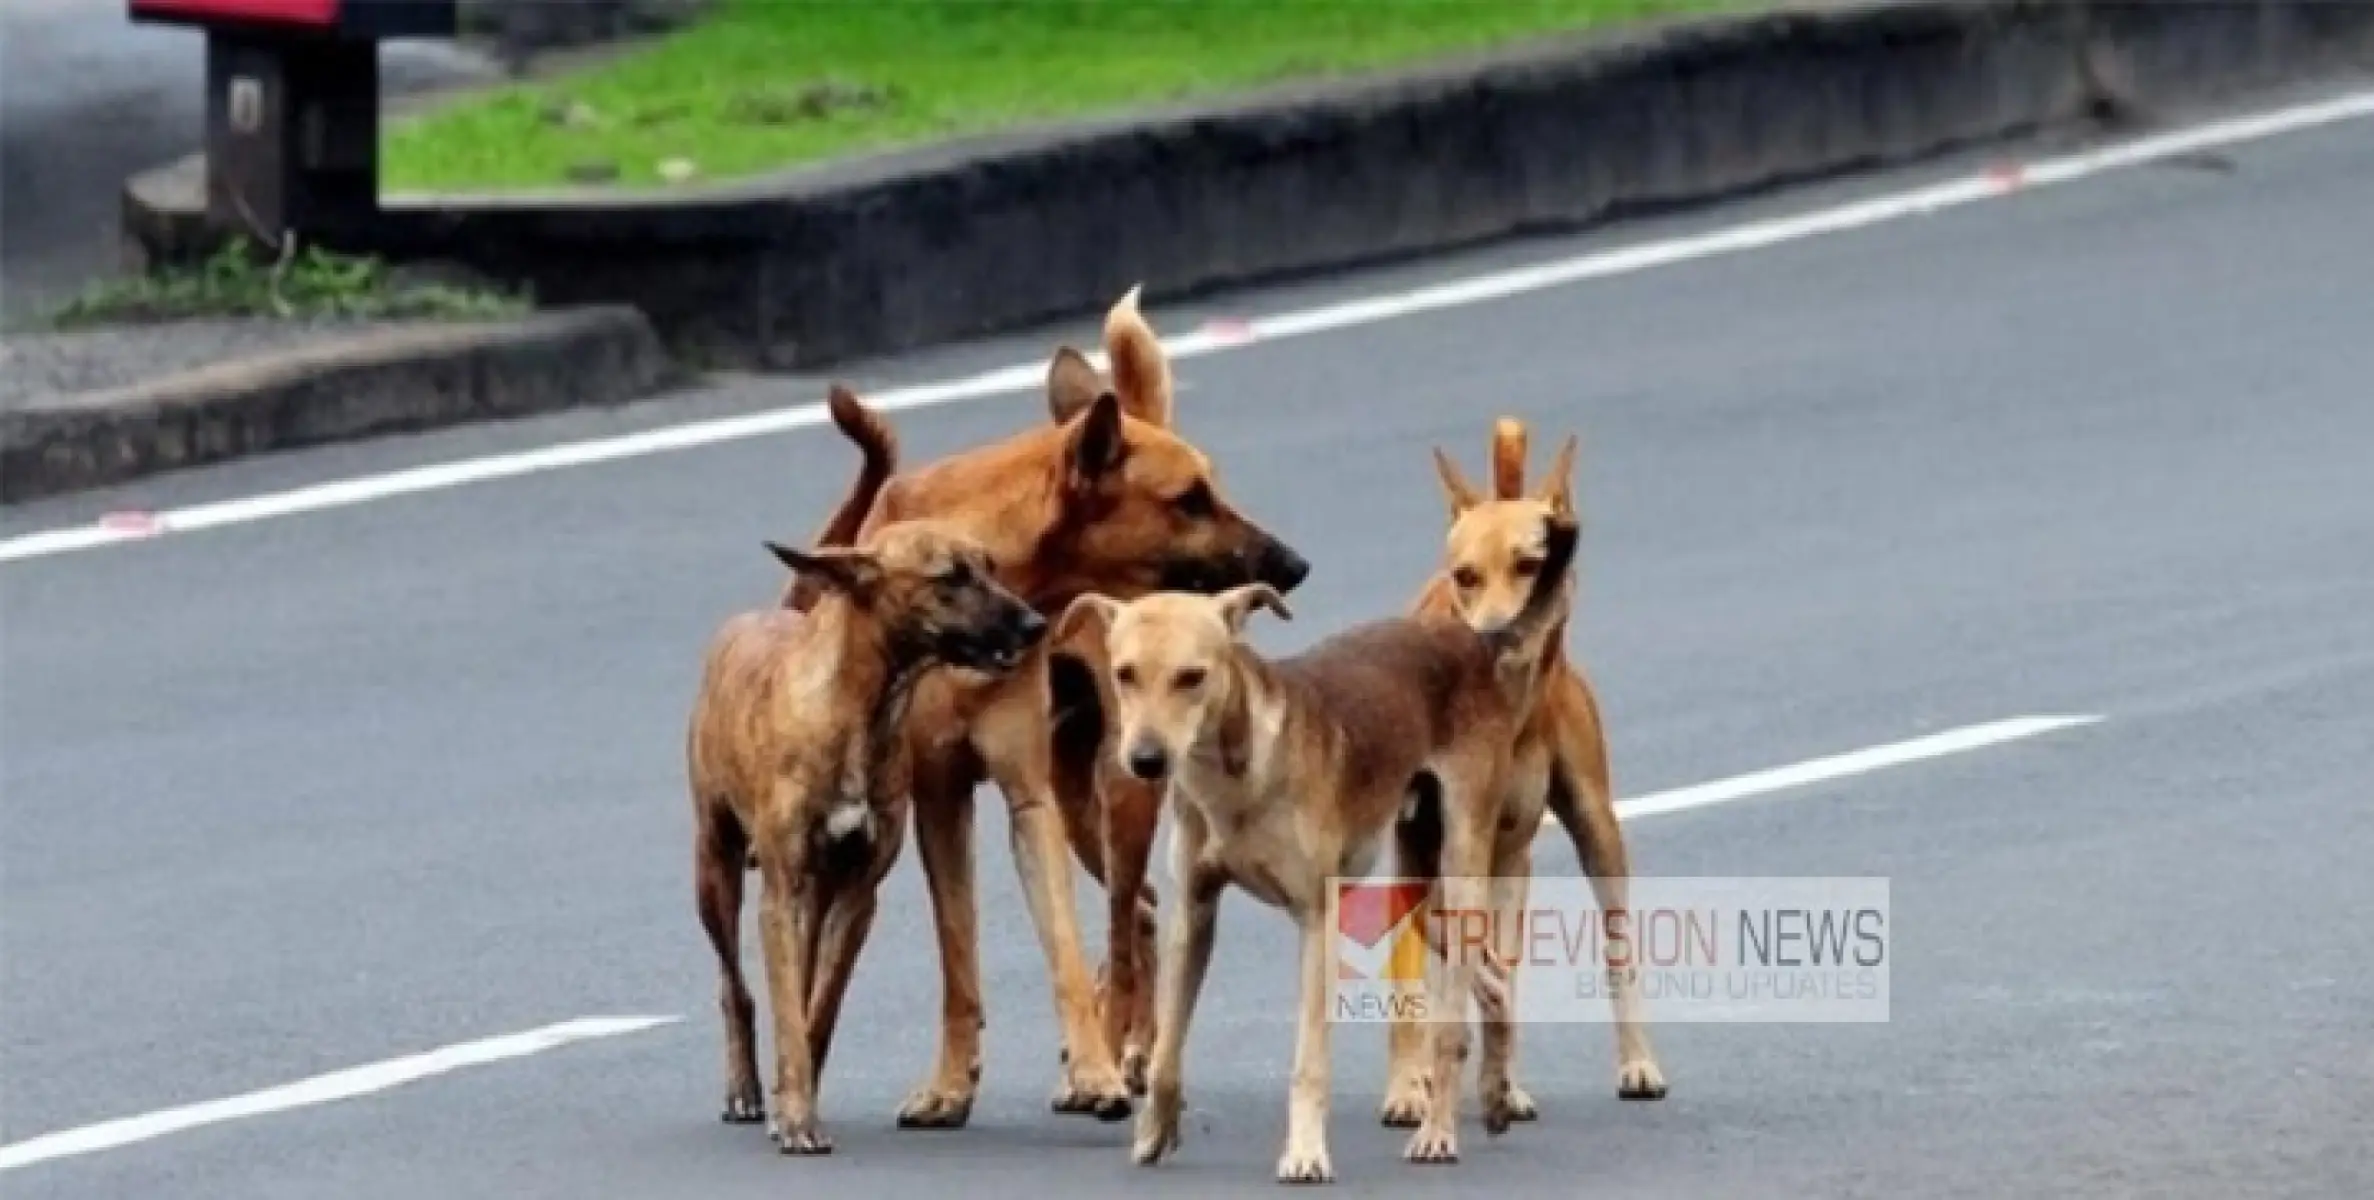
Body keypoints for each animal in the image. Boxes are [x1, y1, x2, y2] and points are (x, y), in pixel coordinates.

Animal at [778, 289, 1310, 1121]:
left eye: (1212, 491)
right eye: (1190, 500)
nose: (1294, 565)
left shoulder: (1029, 797)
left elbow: (1062, 944)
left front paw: (1094, 1067)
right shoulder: (940, 800)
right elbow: (958, 956)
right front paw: (950, 1082)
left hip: (1117, 789)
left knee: (1126, 921)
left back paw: (1122, 1052)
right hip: (1081, 798)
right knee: (1141, 911)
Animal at [1068, 503, 1585, 1178]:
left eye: (1192, 677)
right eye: (1124, 675)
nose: (1146, 760)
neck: (1239, 775)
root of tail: (1474, 643)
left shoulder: (1316, 920)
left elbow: (1309, 1060)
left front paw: (1306, 1152)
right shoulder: (1192, 915)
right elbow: (1167, 1050)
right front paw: (1155, 1132)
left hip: (1463, 864)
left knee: (1453, 1022)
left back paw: (1438, 1131)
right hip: (1420, 886)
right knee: (1493, 978)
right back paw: (1496, 1096)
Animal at [1376, 415, 1671, 1126]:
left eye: (1530, 567)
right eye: (1465, 576)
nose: (1491, 635)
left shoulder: (1496, 846)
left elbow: (1491, 966)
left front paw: (1494, 1071)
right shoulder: (1418, 845)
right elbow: (1430, 959)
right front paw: (1417, 1083)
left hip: (1589, 834)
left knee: (1613, 946)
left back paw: (1619, 1063)